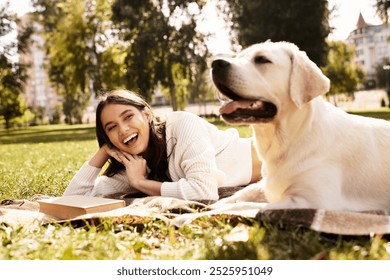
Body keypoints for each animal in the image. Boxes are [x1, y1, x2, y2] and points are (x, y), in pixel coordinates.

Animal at [212, 40, 390, 211]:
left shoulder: (310, 201)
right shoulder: (267, 185)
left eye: (262, 59)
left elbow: (245, 205)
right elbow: (244, 192)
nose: (215, 63)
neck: (293, 138)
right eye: (238, 56)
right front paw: (217, 204)